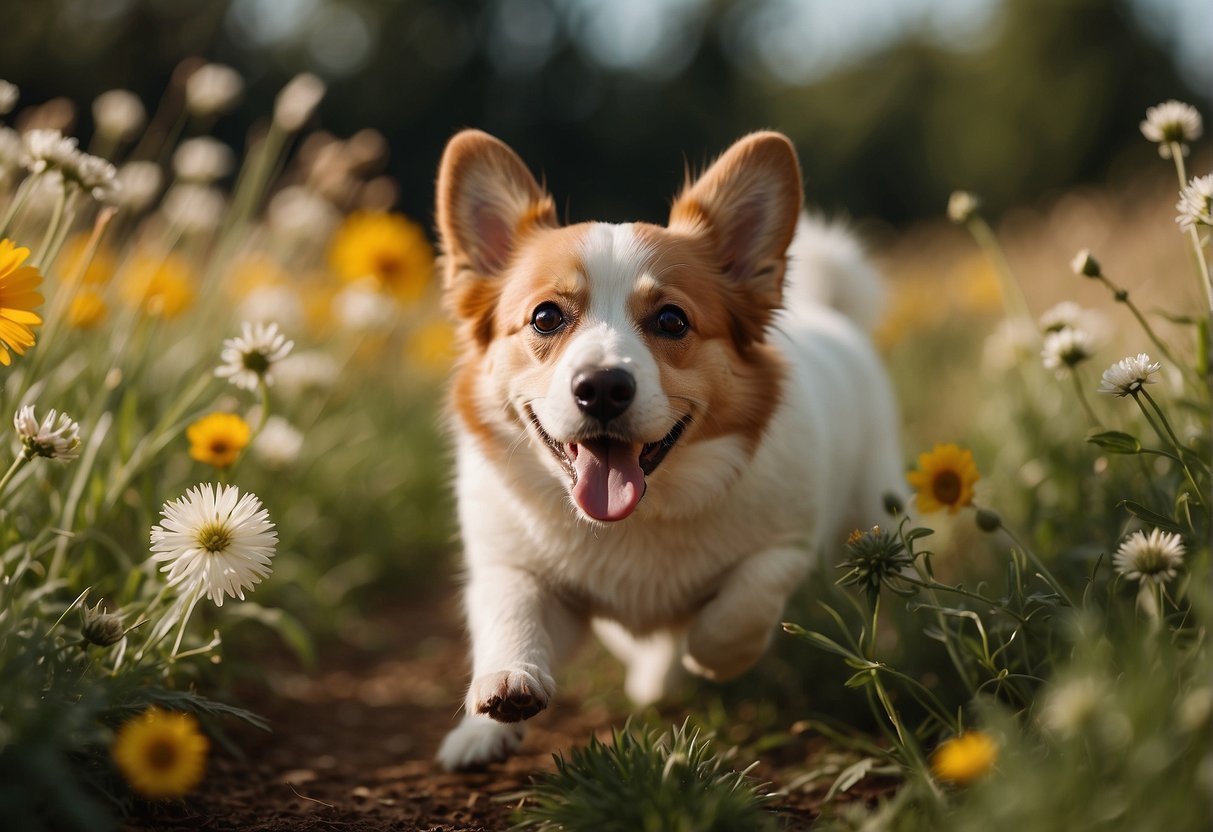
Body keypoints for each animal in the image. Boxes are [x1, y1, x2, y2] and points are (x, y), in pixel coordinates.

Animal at [434, 132, 902, 776]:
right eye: (546, 316)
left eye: (672, 320)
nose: (603, 387)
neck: (638, 518)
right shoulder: (512, 567)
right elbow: (510, 613)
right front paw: (495, 705)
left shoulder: (787, 548)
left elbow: (738, 608)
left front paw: (708, 657)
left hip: (878, 510)